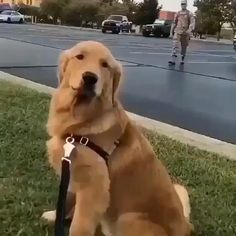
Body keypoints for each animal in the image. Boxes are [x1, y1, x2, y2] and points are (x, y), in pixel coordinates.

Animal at [42, 41, 194, 236]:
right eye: (80, 56)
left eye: (105, 65)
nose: (90, 78)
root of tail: (186, 227)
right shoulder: (74, 174)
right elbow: (66, 199)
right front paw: (55, 215)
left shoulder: (94, 188)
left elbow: (80, 224)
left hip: (128, 219)